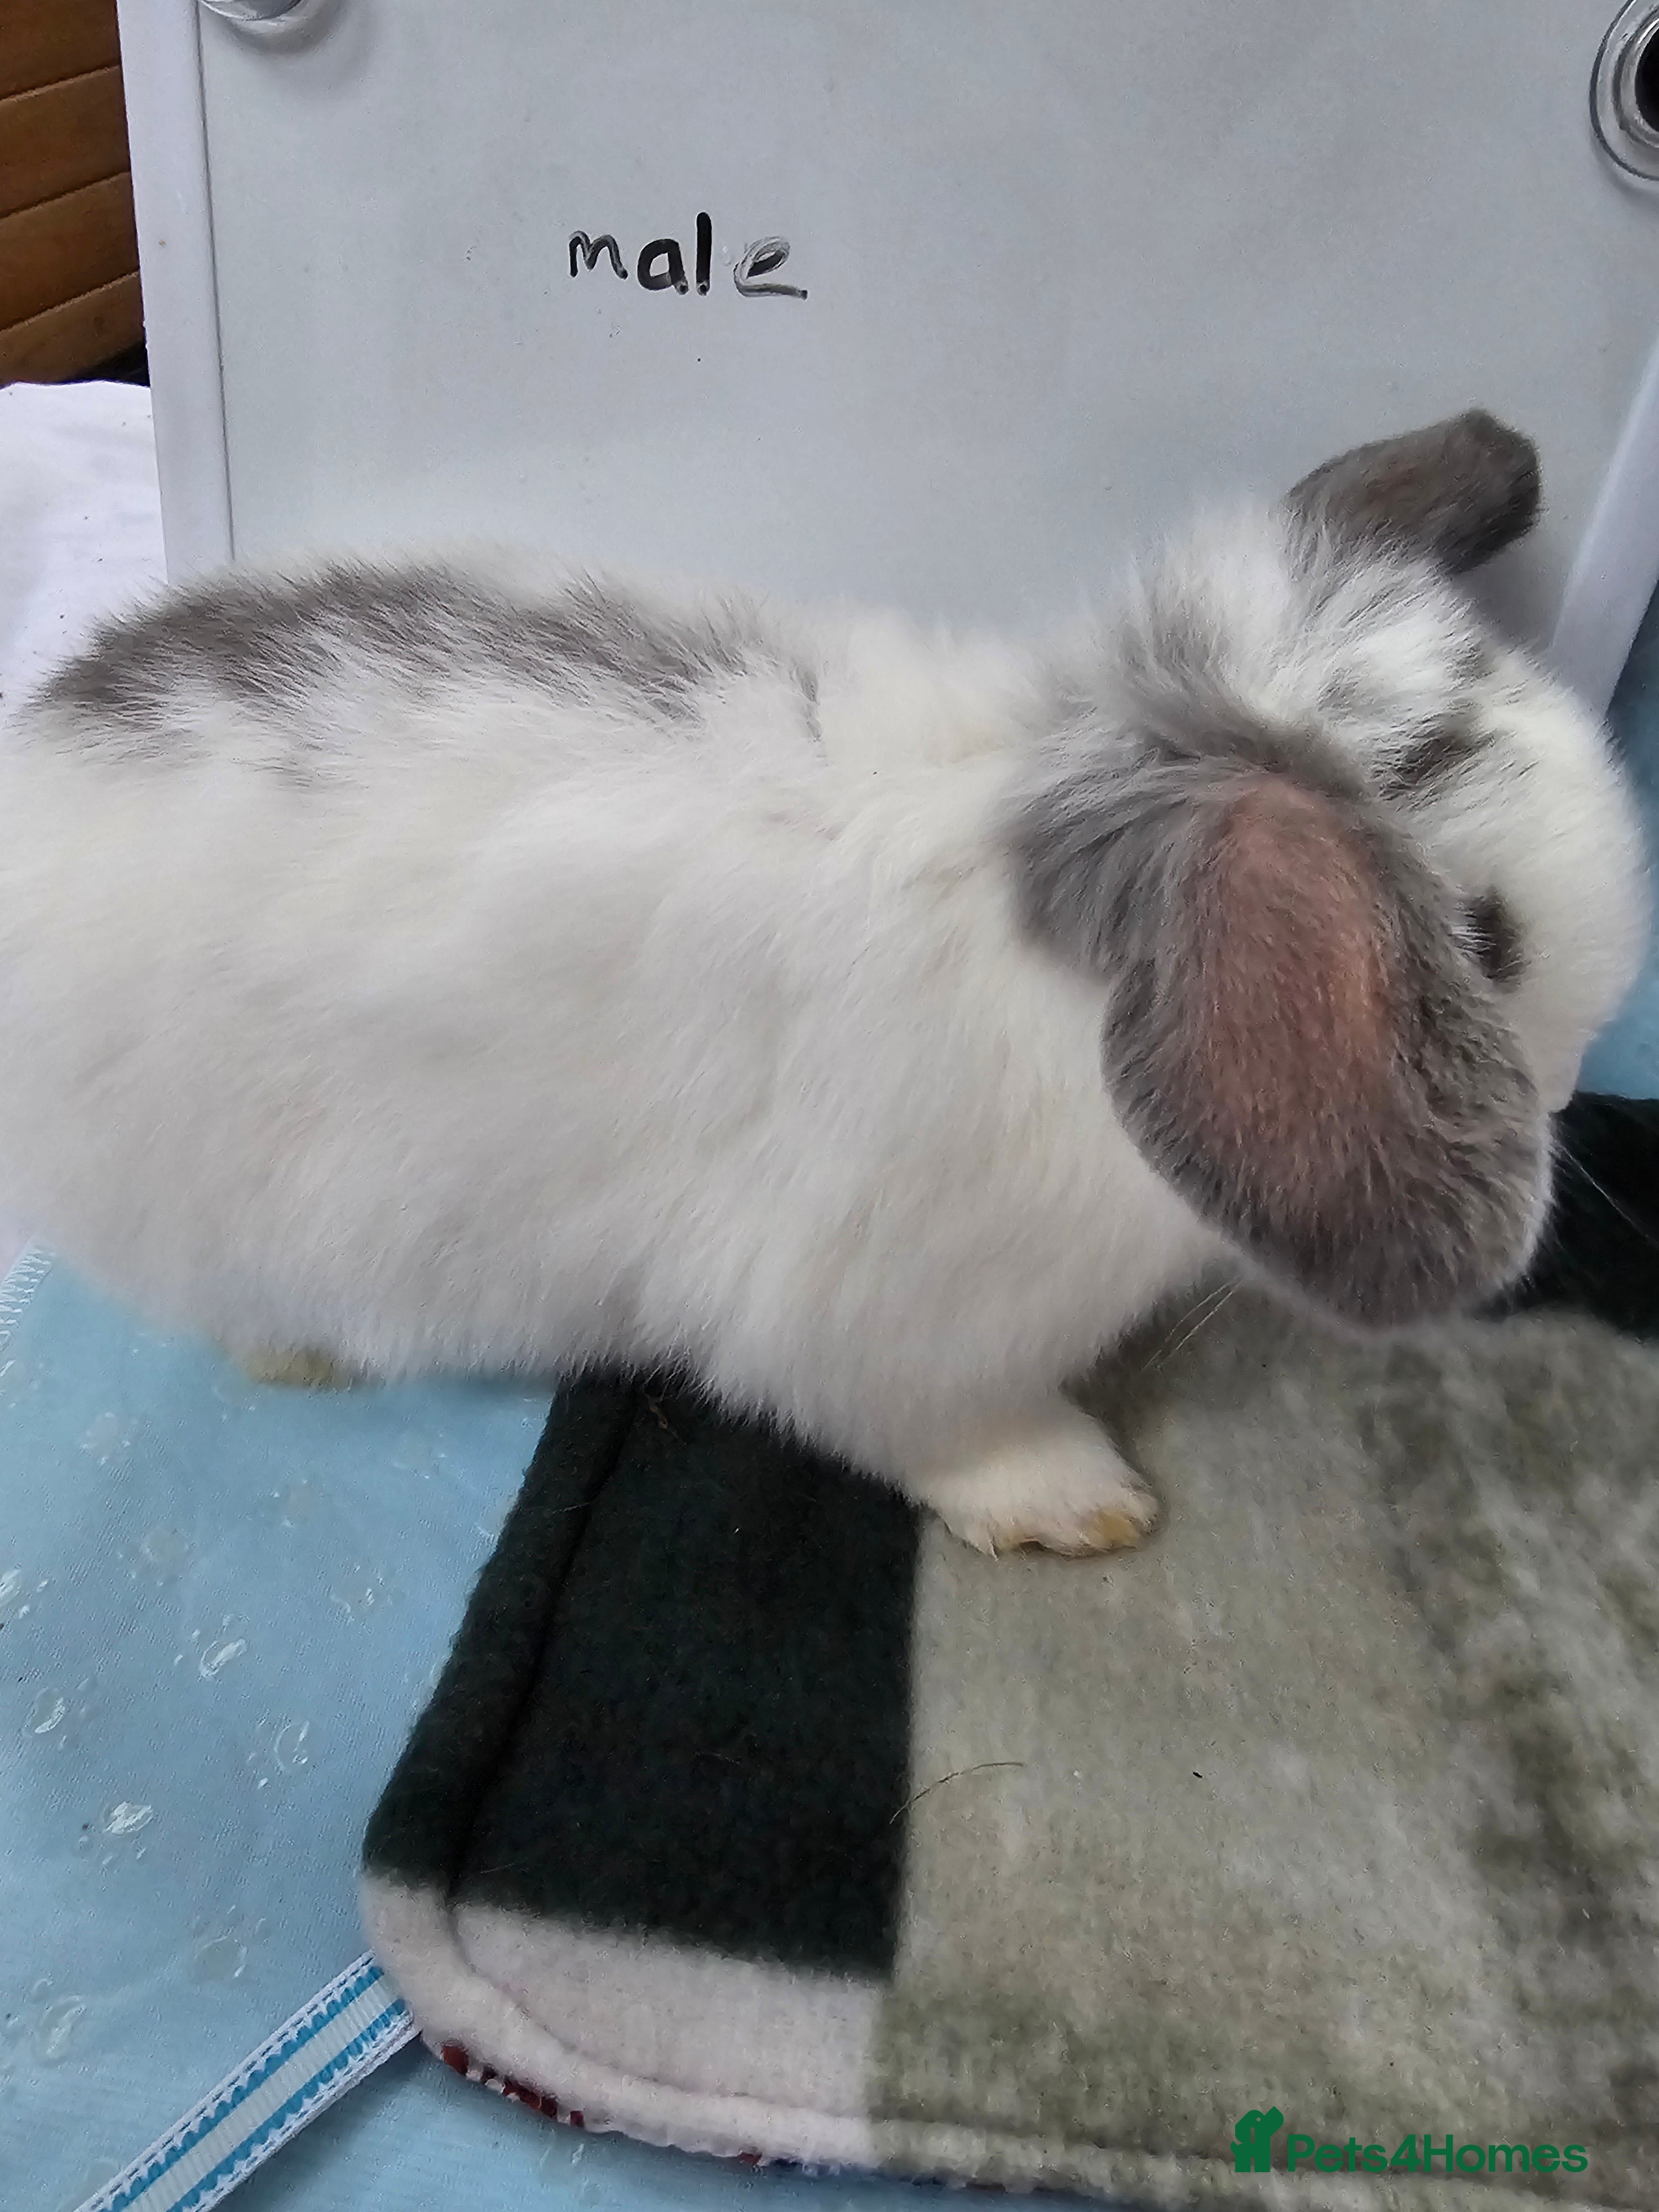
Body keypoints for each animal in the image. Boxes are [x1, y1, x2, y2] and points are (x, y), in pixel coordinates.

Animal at [0, 412, 1645, 1556]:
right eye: (1486, 937)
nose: (1574, 1083)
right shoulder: (892, 1324)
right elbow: (940, 1429)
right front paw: (1078, 1501)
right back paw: (306, 1354)